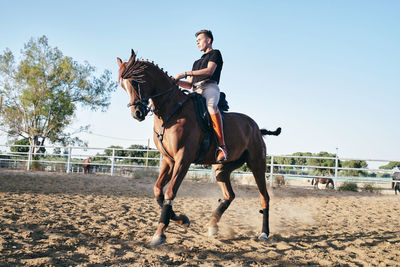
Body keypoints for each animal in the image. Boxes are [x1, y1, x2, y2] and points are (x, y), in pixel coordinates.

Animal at [117, 50, 282, 247]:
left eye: (135, 81)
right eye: (123, 86)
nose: (137, 113)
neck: (172, 112)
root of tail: (256, 127)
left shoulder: (183, 159)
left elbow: (170, 192)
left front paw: (160, 233)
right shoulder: (168, 160)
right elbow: (158, 191)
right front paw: (182, 220)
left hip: (257, 164)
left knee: (264, 197)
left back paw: (264, 233)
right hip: (221, 169)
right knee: (229, 195)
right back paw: (212, 225)